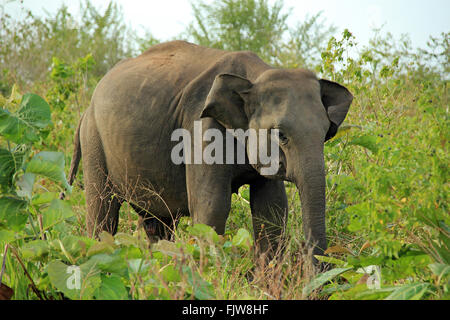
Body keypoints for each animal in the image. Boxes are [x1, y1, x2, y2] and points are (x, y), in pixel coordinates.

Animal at [67, 40, 352, 262]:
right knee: (103, 212)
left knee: (158, 224)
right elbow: (211, 207)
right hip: (94, 140)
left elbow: (271, 210)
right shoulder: (201, 127)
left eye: (327, 133)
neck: (255, 77)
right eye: (281, 135)